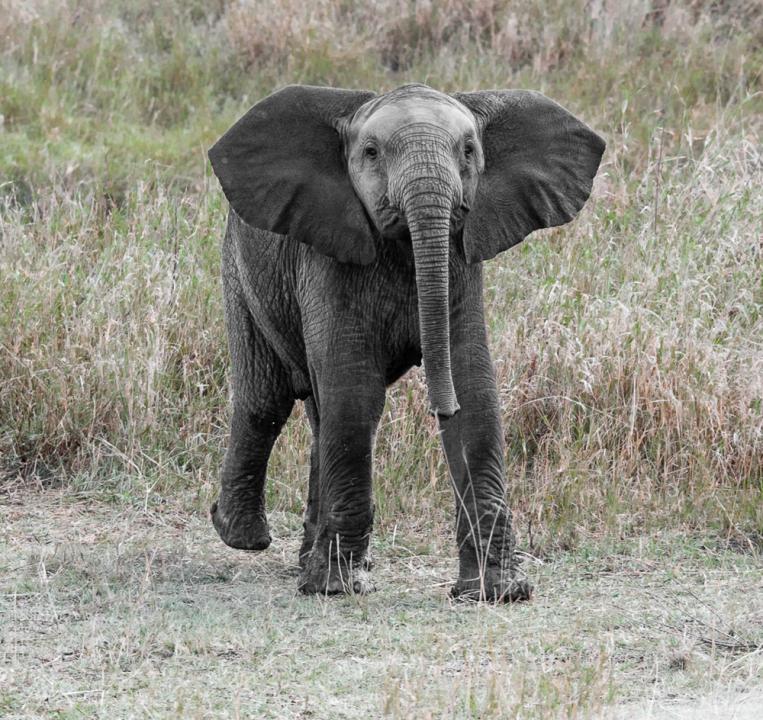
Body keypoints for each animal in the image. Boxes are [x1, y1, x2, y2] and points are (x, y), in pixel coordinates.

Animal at [207, 81, 604, 600]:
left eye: (469, 150)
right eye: (371, 153)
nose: (440, 405)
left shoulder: (461, 261)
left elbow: (475, 392)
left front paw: (497, 592)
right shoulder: (329, 261)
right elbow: (355, 393)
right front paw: (338, 588)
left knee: (317, 414)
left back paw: (306, 561)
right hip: (239, 270)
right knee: (266, 399)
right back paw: (243, 537)